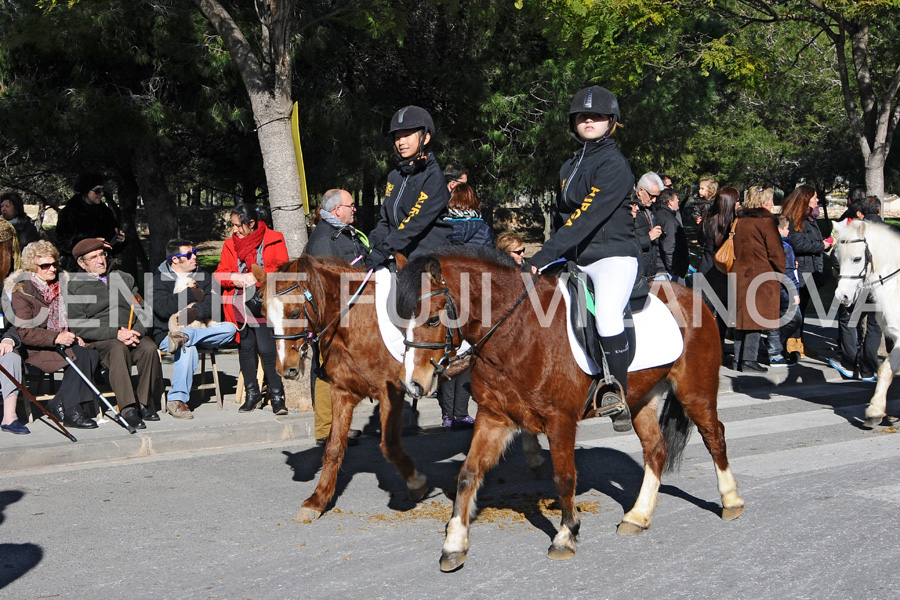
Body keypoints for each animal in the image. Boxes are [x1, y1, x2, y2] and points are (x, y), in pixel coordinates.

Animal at [248, 255, 428, 524]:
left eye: (294, 312)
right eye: (264, 315)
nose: (285, 369)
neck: (357, 318)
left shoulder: (390, 393)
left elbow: (390, 445)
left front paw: (416, 484)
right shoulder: (342, 391)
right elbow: (333, 447)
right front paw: (317, 500)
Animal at [396, 248, 744, 572]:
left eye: (432, 319)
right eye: (400, 322)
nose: (413, 384)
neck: (518, 332)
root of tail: (693, 297)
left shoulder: (559, 420)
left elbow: (564, 477)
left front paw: (565, 535)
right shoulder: (493, 417)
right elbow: (468, 474)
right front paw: (454, 544)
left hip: (694, 392)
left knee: (714, 435)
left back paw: (730, 500)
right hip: (641, 398)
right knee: (656, 448)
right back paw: (637, 516)